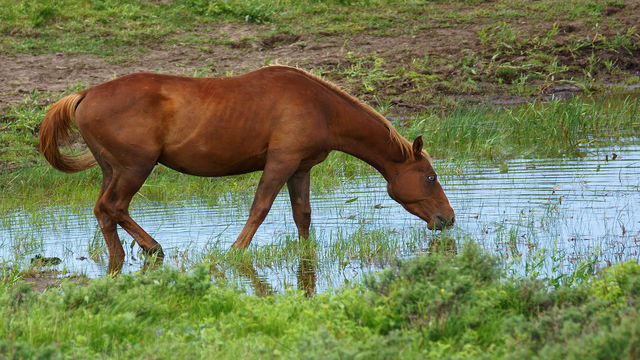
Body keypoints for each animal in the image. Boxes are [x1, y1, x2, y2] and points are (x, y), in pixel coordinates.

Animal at [38, 65, 456, 272]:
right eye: (430, 177)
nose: (448, 219)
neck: (321, 107)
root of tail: (85, 95)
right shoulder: (281, 162)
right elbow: (260, 208)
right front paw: (236, 252)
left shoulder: (301, 168)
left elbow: (302, 214)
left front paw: (307, 254)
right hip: (134, 168)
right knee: (114, 207)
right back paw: (153, 248)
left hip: (113, 170)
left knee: (103, 211)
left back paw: (121, 258)